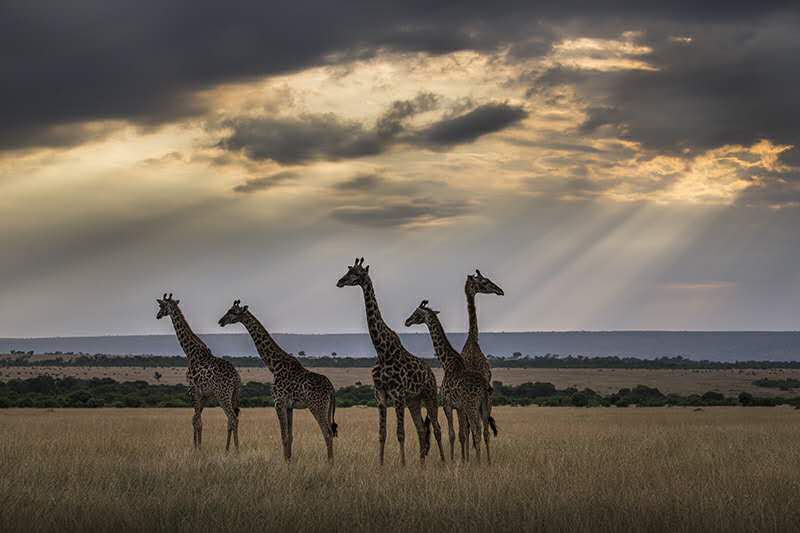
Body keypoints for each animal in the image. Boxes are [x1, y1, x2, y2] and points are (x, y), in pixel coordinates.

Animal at [156, 294, 241, 450]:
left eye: (161, 306)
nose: (157, 315)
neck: (190, 352)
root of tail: (237, 379)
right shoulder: (204, 395)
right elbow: (197, 419)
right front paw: (198, 446)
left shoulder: (193, 390)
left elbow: (196, 420)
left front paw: (196, 448)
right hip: (234, 395)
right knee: (233, 419)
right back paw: (230, 449)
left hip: (223, 395)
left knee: (232, 418)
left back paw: (236, 450)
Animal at [217, 300, 336, 462]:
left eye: (233, 312)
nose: (221, 321)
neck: (274, 366)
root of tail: (332, 389)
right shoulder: (289, 406)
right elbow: (290, 436)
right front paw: (290, 461)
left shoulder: (278, 402)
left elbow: (283, 437)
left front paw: (285, 462)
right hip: (326, 407)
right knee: (330, 432)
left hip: (317, 406)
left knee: (328, 433)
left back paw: (330, 463)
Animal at [332, 258, 444, 466]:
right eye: (348, 270)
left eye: (357, 274)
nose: (340, 281)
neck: (382, 351)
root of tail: (431, 372)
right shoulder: (380, 394)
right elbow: (382, 433)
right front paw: (381, 464)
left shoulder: (398, 393)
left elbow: (400, 433)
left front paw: (403, 464)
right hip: (414, 400)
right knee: (421, 429)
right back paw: (422, 464)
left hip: (429, 394)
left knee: (437, 427)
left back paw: (443, 461)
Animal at [406, 300, 494, 462]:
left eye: (416, 313)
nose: (407, 321)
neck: (447, 363)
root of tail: (485, 386)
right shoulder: (459, 407)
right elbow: (462, 434)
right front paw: (464, 461)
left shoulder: (447, 404)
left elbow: (452, 434)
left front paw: (452, 460)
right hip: (484, 405)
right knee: (485, 431)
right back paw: (488, 462)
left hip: (472, 405)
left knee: (477, 430)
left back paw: (479, 463)